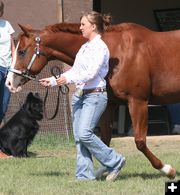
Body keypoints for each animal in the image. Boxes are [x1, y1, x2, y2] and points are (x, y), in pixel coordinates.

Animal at [4, 22, 178, 179]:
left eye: (21, 52)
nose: (9, 83)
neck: (118, 52)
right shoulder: (109, 104)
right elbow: (105, 139)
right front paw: (107, 170)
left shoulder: (138, 101)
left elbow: (140, 141)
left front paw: (167, 170)